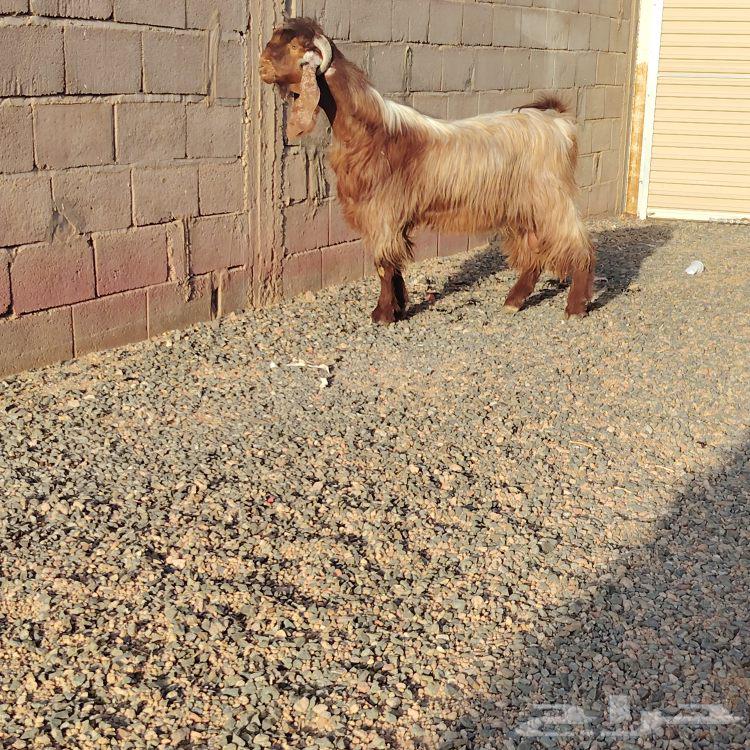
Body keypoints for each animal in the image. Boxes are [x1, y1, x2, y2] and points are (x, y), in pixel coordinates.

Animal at [260, 18, 595, 324]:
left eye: (294, 47)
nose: (262, 67)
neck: (372, 131)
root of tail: (559, 123)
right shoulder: (392, 218)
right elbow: (395, 265)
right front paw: (398, 309)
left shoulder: (382, 212)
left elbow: (383, 264)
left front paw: (382, 315)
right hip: (525, 207)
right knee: (534, 252)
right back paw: (513, 301)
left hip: (551, 199)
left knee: (578, 244)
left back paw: (575, 307)